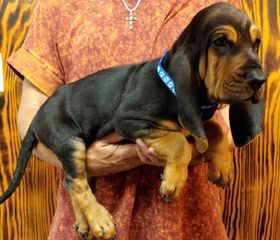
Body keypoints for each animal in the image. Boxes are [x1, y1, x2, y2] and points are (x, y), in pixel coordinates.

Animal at [0, 2, 266, 240]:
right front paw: (173, 183)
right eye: (220, 42)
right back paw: (100, 221)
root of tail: (37, 117)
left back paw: (85, 224)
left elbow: (215, 128)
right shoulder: (130, 120)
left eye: (257, 43)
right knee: (75, 183)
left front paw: (222, 166)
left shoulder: (195, 120)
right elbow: (179, 142)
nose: (260, 80)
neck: (171, 86)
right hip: (68, 140)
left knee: (72, 182)